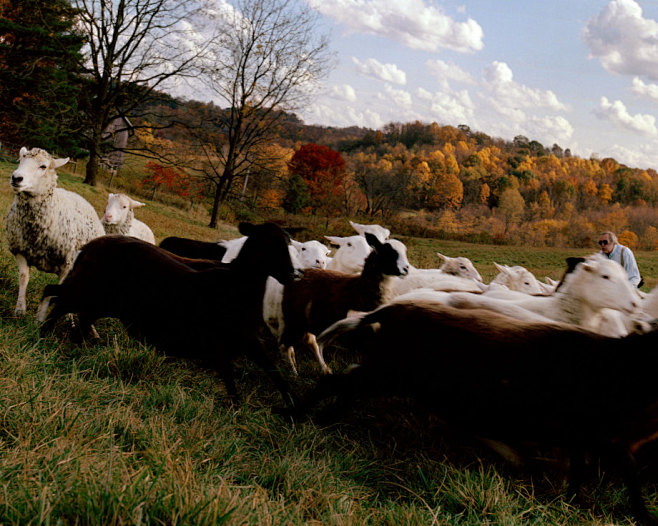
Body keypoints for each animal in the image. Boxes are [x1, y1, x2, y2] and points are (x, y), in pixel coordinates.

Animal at [5, 146, 104, 316]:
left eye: (43, 166)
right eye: (21, 160)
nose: (16, 178)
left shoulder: (67, 265)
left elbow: (53, 293)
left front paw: (40, 317)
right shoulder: (20, 250)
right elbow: (23, 277)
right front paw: (20, 310)